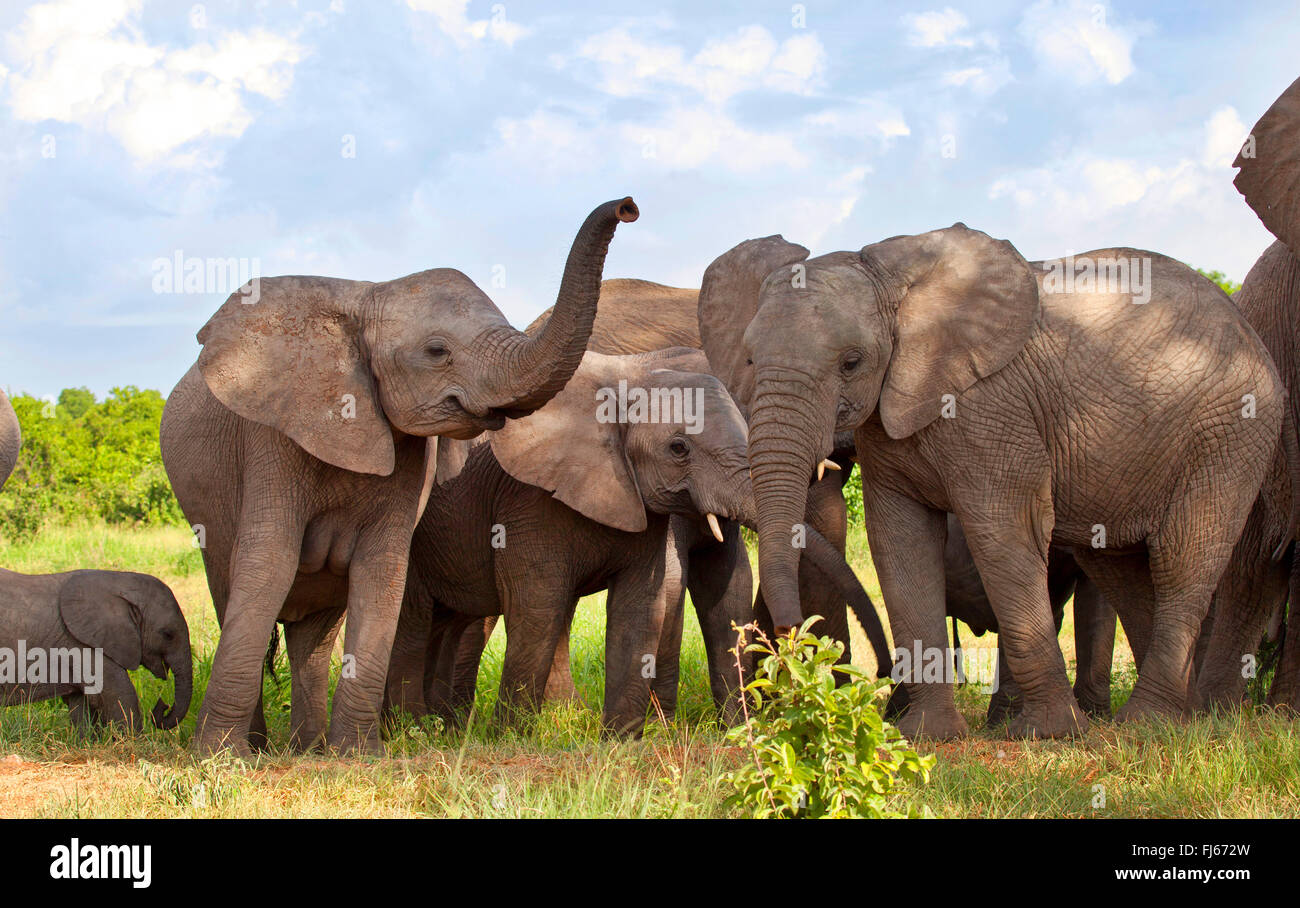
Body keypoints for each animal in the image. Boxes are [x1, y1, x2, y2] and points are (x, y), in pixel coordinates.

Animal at [0, 569, 192, 732]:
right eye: (168, 635)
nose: (163, 705)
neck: (119, 581)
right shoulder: (84, 646)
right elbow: (121, 694)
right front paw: (135, 745)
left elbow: (81, 701)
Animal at [160, 197, 638, 755]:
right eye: (437, 351)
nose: (628, 207)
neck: (366, 295)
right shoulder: (272, 438)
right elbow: (267, 567)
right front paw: (218, 757)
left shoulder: (410, 454)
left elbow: (384, 571)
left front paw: (356, 755)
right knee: (232, 589)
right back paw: (262, 745)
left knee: (314, 636)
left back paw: (308, 747)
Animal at [381, 348, 891, 737]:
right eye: (678, 449)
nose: (884, 678)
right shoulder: (525, 502)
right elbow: (538, 606)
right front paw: (512, 738)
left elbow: (660, 601)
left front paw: (626, 740)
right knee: (418, 618)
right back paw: (412, 731)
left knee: (452, 621)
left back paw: (441, 726)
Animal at [705, 226, 1285, 740]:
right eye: (750, 359)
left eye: (852, 362)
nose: (786, 640)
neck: (895, 287)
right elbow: (899, 541)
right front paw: (927, 737)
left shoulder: (992, 408)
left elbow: (1001, 530)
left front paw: (1048, 735)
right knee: (1121, 569)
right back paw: (1171, 719)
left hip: (1231, 431)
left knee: (1183, 554)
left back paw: (1147, 725)